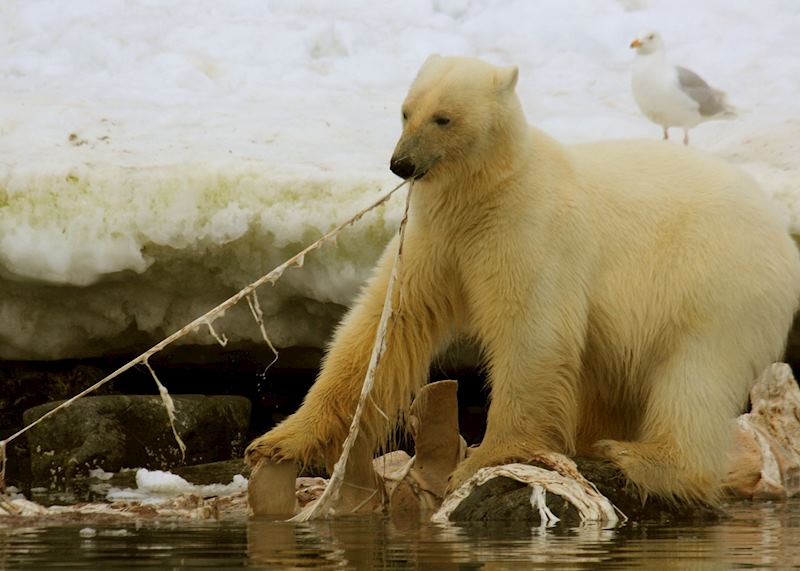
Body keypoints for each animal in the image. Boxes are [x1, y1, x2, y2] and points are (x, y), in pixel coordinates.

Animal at [247, 55, 800, 503]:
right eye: (405, 111)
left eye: (443, 117)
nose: (401, 163)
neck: (485, 191)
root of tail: (779, 230)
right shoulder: (437, 238)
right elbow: (384, 327)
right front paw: (277, 443)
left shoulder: (527, 228)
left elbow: (531, 332)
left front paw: (482, 458)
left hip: (715, 284)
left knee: (693, 377)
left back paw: (642, 459)